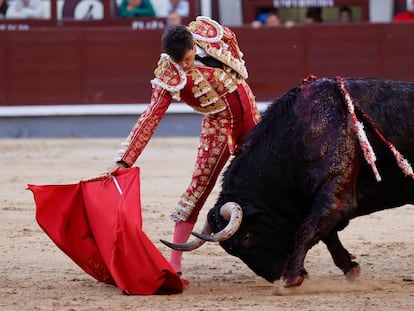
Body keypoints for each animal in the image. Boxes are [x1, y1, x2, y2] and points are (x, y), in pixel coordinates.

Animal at [162, 78, 414, 288]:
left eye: (247, 237)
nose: (275, 276)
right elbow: (326, 236)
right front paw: (351, 269)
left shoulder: (336, 197)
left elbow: (306, 230)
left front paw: (291, 279)